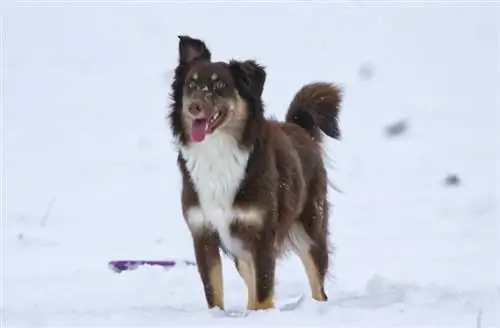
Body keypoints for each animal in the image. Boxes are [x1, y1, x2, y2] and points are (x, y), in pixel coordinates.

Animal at [168, 35, 340, 310]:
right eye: (190, 85)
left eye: (221, 86)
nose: (194, 107)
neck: (217, 150)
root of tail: (299, 127)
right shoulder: (202, 232)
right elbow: (214, 292)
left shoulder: (261, 234)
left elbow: (263, 291)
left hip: (311, 229)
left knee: (317, 284)